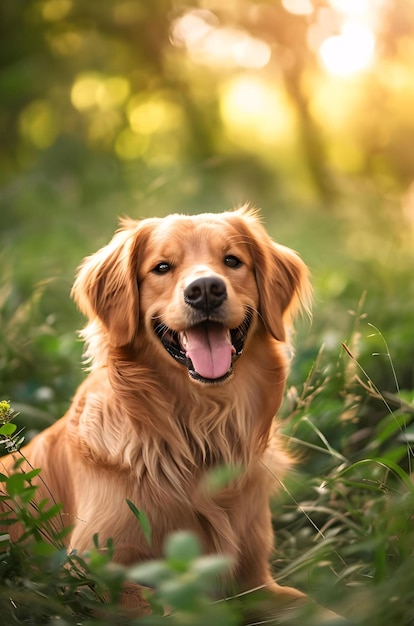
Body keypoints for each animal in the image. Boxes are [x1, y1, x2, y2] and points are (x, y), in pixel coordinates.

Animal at [0, 206, 340, 620]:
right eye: (161, 267)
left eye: (232, 261)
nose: (205, 289)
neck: (201, 428)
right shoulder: (86, 572)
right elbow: (171, 607)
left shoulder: (255, 580)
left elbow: (312, 606)